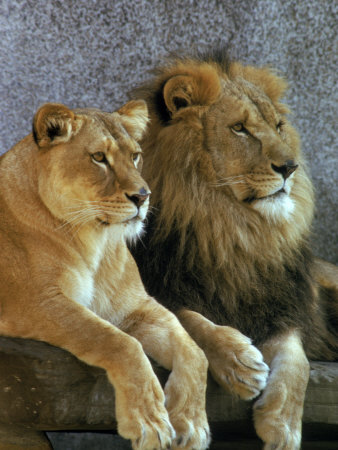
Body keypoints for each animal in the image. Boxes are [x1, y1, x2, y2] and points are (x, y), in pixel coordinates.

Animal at [0, 101, 211, 450]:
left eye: (135, 156)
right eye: (99, 157)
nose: (143, 196)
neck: (93, 240)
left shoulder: (136, 306)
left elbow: (194, 351)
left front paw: (192, 424)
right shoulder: (34, 303)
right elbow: (117, 341)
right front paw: (149, 421)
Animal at [131, 49, 338, 450]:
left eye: (279, 126)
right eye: (240, 128)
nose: (290, 167)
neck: (231, 231)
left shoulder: (283, 307)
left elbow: (297, 358)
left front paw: (283, 422)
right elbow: (190, 318)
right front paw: (239, 363)